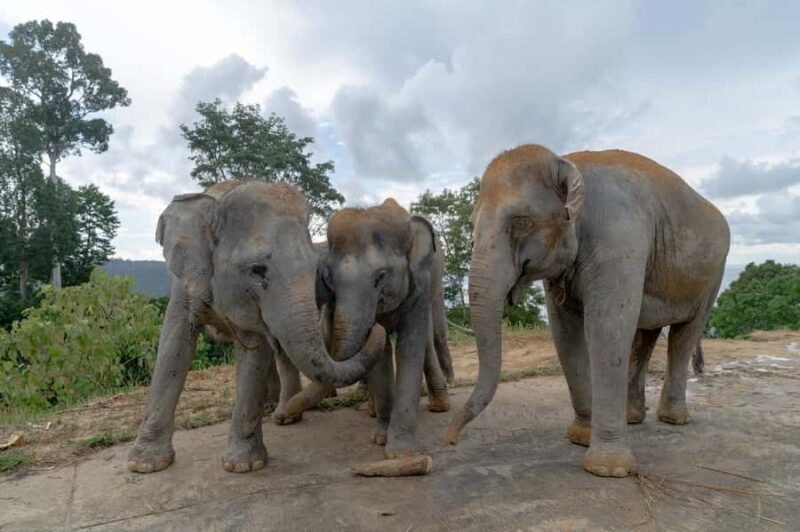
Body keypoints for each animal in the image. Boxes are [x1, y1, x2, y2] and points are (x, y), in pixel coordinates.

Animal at [127, 181, 385, 474]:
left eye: (316, 269)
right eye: (257, 270)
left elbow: (254, 350)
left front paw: (244, 466)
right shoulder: (185, 282)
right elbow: (174, 344)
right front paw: (145, 465)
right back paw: (280, 408)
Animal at [281, 199, 450, 460]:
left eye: (381, 277)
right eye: (328, 280)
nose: (281, 418)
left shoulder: (419, 283)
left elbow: (410, 346)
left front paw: (401, 451)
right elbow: (381, 357)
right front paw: (381, 437)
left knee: (428, 339)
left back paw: (440, 406)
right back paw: (373, 410)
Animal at [448, 144, 729, 478]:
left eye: (520, 222)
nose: (450, 438)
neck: (568, 163)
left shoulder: (619, 239)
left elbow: (606, 331)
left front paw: (608, 469)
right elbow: (565, 335)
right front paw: (581, 437)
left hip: (712, 277)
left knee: (684, 335)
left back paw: (673, 419)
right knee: (645, 336)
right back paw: (632, 417)